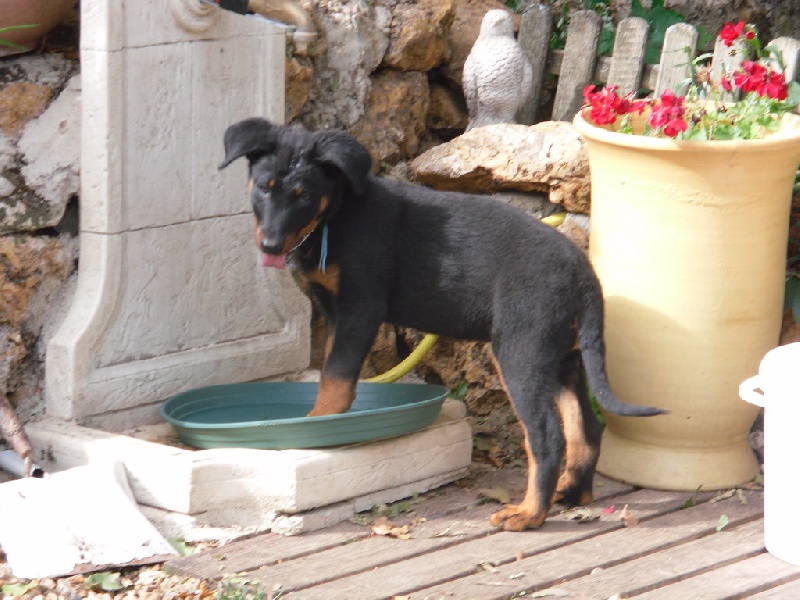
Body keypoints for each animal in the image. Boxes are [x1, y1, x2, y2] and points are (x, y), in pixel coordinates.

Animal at [219, 118, 664, 531]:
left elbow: (335, 381)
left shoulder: (360, 310)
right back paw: (572, 493)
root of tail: (585, 278)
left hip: (521, 352)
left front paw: (318, 425)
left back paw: (528, 514)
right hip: (562, 357)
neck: (335, 217)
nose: (270, 245)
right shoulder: (334, 315)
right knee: (585, 428)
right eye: (264, 188)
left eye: (305, 196)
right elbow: (332, 375)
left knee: (547, 436)